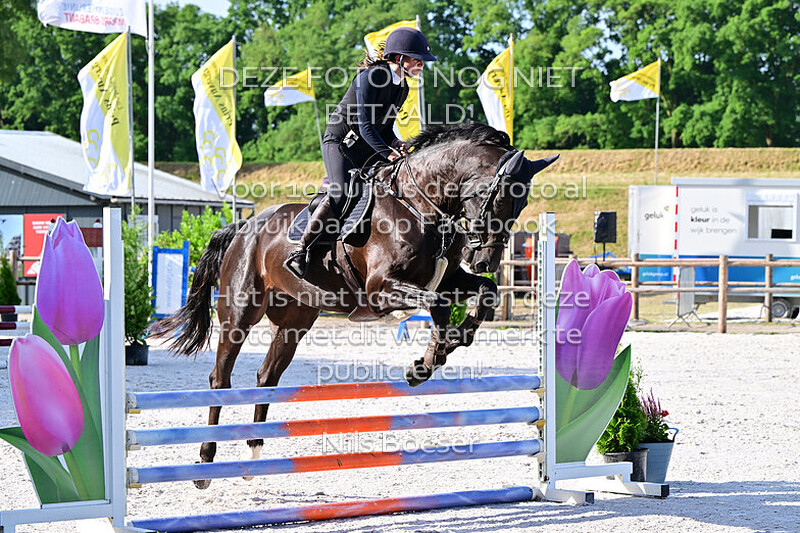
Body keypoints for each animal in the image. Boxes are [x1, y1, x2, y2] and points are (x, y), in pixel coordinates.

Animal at [152, 123, 558, 488]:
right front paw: (426, 363)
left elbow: (486, 293)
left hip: (294, 321)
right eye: (500, 198)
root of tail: (243, 226)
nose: (486, 259)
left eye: (521, 203)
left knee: (266, 377)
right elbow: (438, 306)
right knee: (220, 379)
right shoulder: (380, 290)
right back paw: (205, 462)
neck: (419, 205)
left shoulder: (449, 278)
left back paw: (253, 451)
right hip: (239, 315)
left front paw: (452, 343)